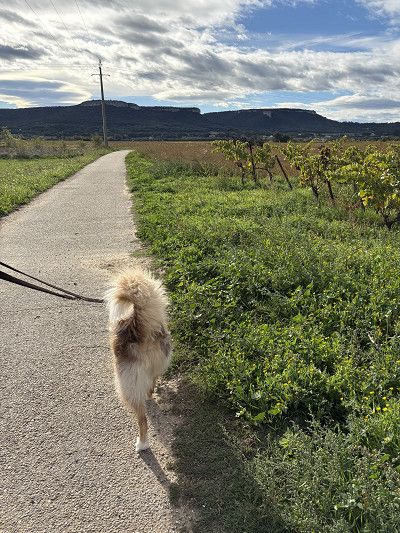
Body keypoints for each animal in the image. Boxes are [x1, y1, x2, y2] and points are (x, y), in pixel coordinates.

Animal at [105, 268, 172, 452]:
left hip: (126, 385)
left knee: (142, 421)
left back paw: (142, 444)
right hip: (157, 366)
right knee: (152, 381)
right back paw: (149, 395)